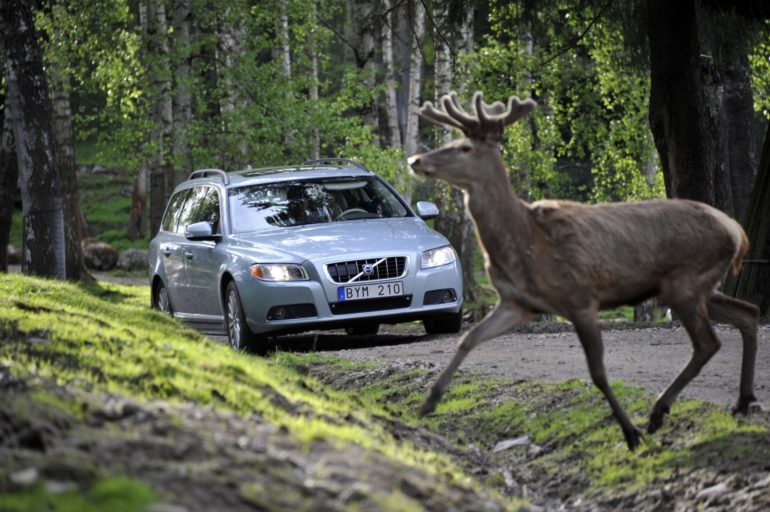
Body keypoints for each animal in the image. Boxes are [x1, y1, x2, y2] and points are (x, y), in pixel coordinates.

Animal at [404, 90, 760, 450]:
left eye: (465, 147)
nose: (415, 161)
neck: (525, 241)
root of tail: (736, 231)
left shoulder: (580, 298)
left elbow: (598, 372)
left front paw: (630, 433)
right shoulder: (517, 303)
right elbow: (467, 339)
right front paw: (428, 402)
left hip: (686, 282)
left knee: (708, 343)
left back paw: (659, 412)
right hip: (695, 287)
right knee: (748, 312)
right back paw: (740, 402)